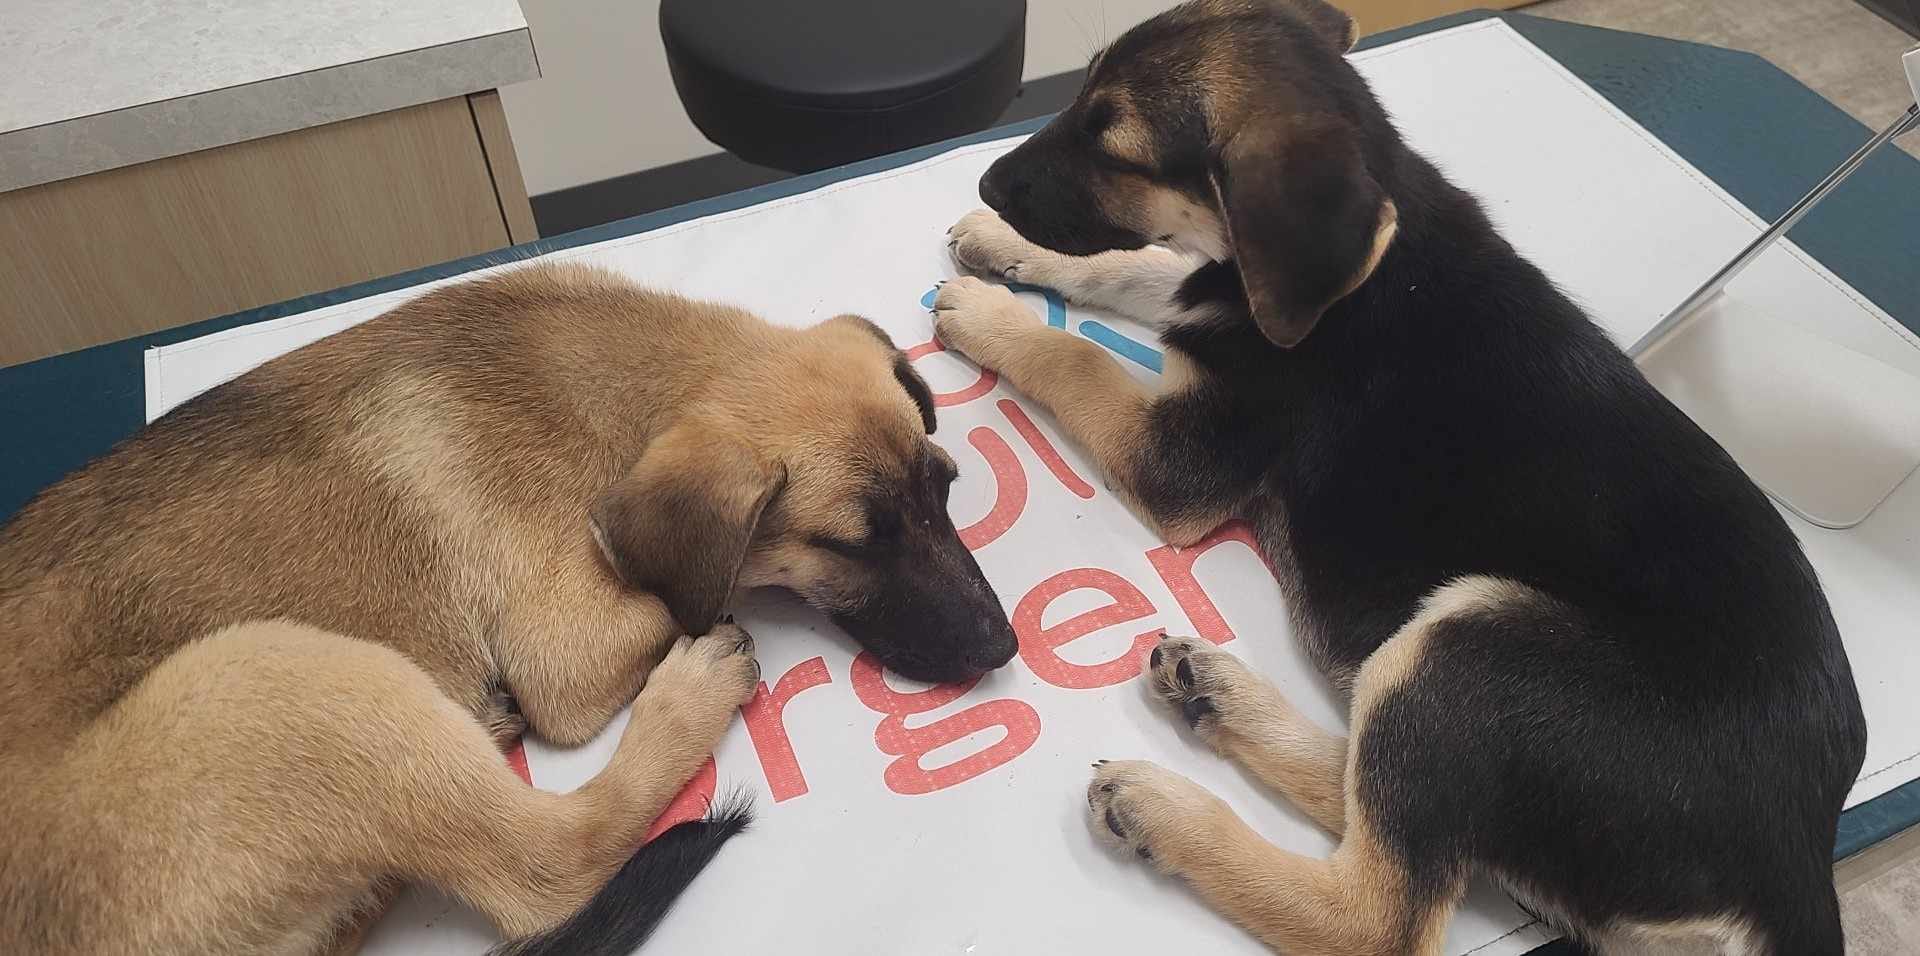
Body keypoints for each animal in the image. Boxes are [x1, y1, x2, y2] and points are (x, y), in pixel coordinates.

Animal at [0, 261, 1021, 956]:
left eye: (945, 489)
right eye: (854, 544)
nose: (1004, 644)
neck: (623, 384)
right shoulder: (567, 656)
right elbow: (691, 599)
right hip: (278, 677)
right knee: (548, 866)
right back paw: (686, 696)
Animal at [936, 3, 1866, 952]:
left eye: (1113, 144)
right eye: (1079, 95)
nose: (985, 183)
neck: (1367, 267)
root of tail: (1794, 862)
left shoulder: (1180, 456)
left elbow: (1077, 357)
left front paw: (993, 316)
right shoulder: (1222, 288)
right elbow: (1148, 266)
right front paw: (1004, 249)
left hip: (1475, 639)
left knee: (1376, 912)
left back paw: (1170, 810)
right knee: (1382, 807)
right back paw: (1223, 701)